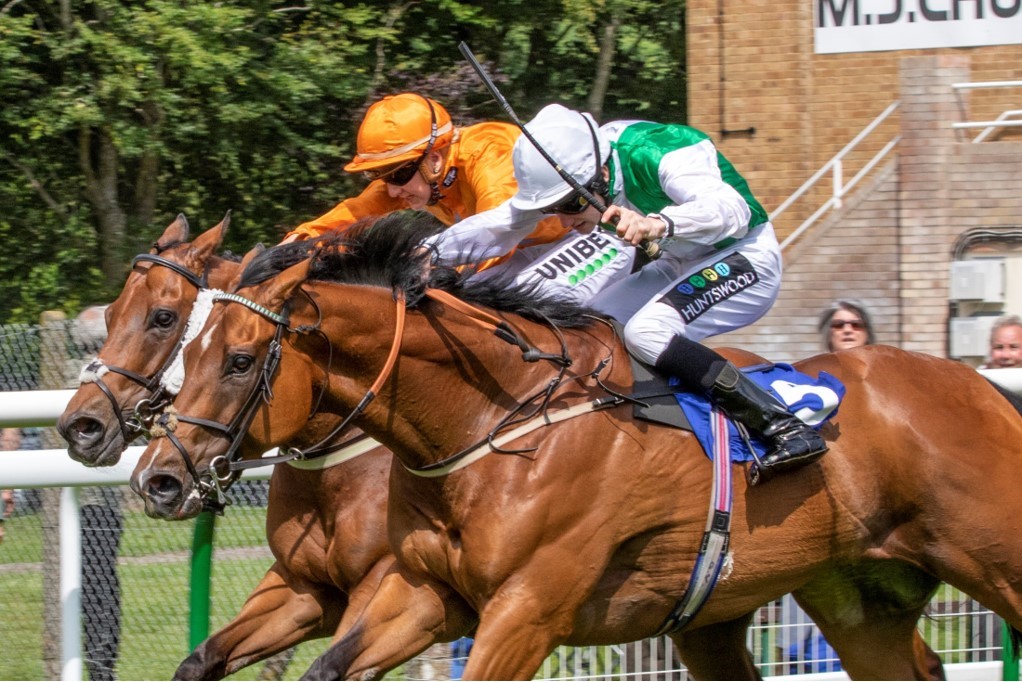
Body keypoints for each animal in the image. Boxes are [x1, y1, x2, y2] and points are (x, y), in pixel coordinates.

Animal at [61, 215, 476, 678]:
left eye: (163, 318)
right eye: (110, 315)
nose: (81, 426)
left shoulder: (392, 585)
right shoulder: (304, 587)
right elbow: (201, 659)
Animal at [125, 211, 989, 678]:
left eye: (238, 360)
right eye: (188, 346)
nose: (157, 478)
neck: (491, 418)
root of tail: (974, 380)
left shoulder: (525, 610)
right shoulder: (407, 590)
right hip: (844, 600)